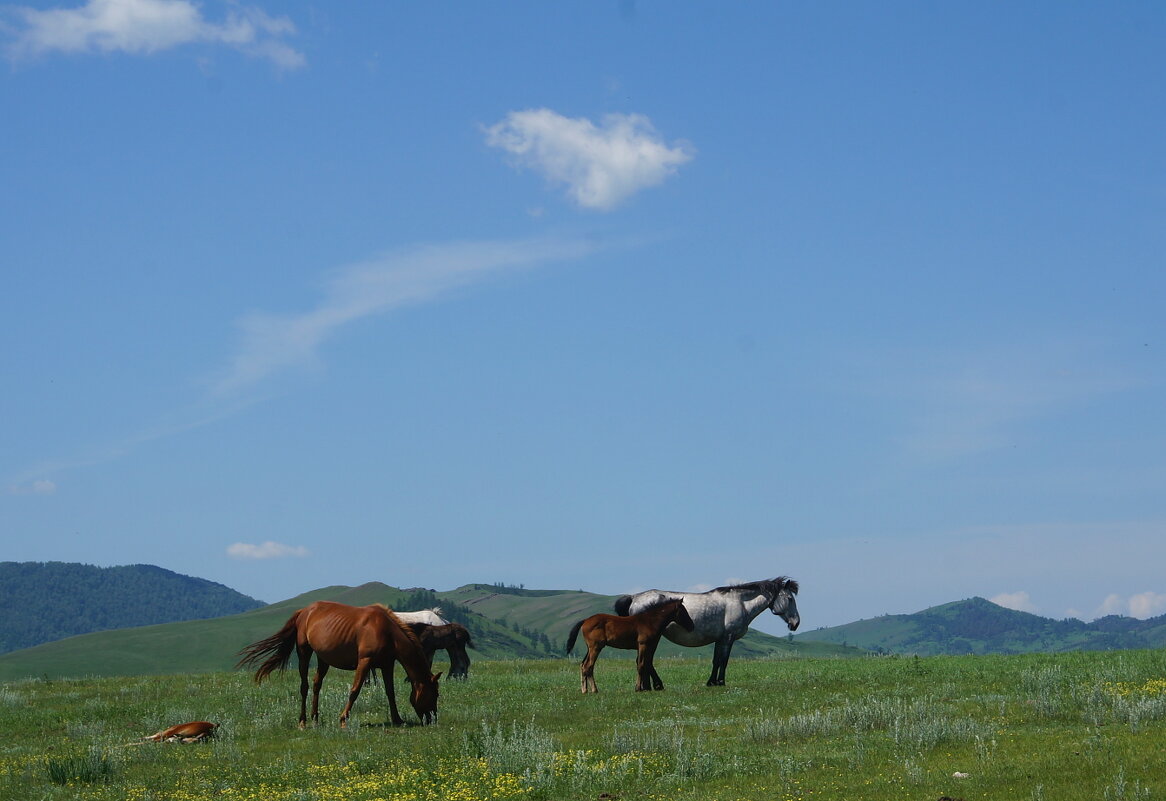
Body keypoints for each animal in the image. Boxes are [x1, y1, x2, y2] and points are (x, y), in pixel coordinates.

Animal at [236, 601, 440, 727]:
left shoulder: (387, 665)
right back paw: (303, 721)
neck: (387, 631)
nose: (432, 719)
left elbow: (390, 692)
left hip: (323, 659)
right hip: (304, 652)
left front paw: (397, 719)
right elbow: (355, 690)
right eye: (435, 694)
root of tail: (304, 611)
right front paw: (343, 718)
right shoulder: (364, 662)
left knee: (317, 685)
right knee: (304, 686)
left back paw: (315, 718)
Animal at [610, 580, 802, 685]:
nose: (796, 623)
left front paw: (712, 682)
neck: (740, 603)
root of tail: (634, 598)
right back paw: (656, 685)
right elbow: (724, 661)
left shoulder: (720, 639)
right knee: (644, 661)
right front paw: (721, 682)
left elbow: (716, 661)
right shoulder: (728, 638)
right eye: (790, 599)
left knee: (645, 662)